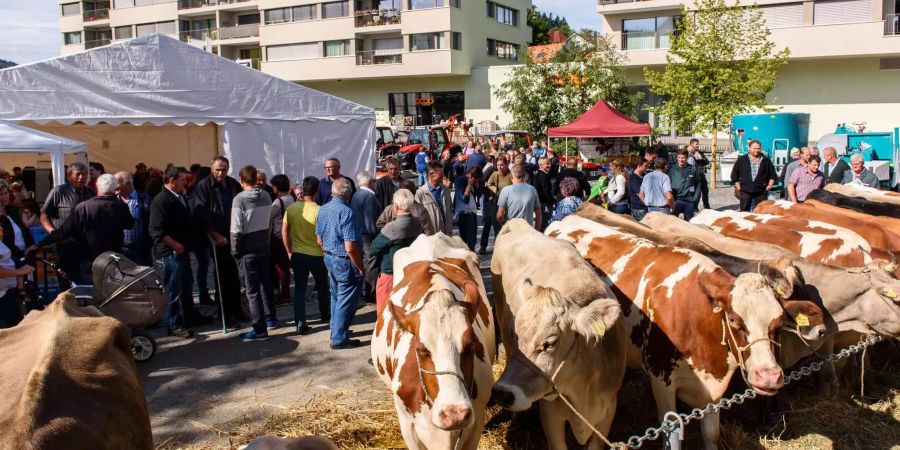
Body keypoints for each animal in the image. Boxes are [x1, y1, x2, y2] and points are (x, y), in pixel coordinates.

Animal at [544, 215, 784, 450]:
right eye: (734, 320)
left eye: (779, 322)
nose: (769, 377)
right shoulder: (661, 378)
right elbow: (673, 433)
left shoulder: (714, 389)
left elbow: (711, 434)